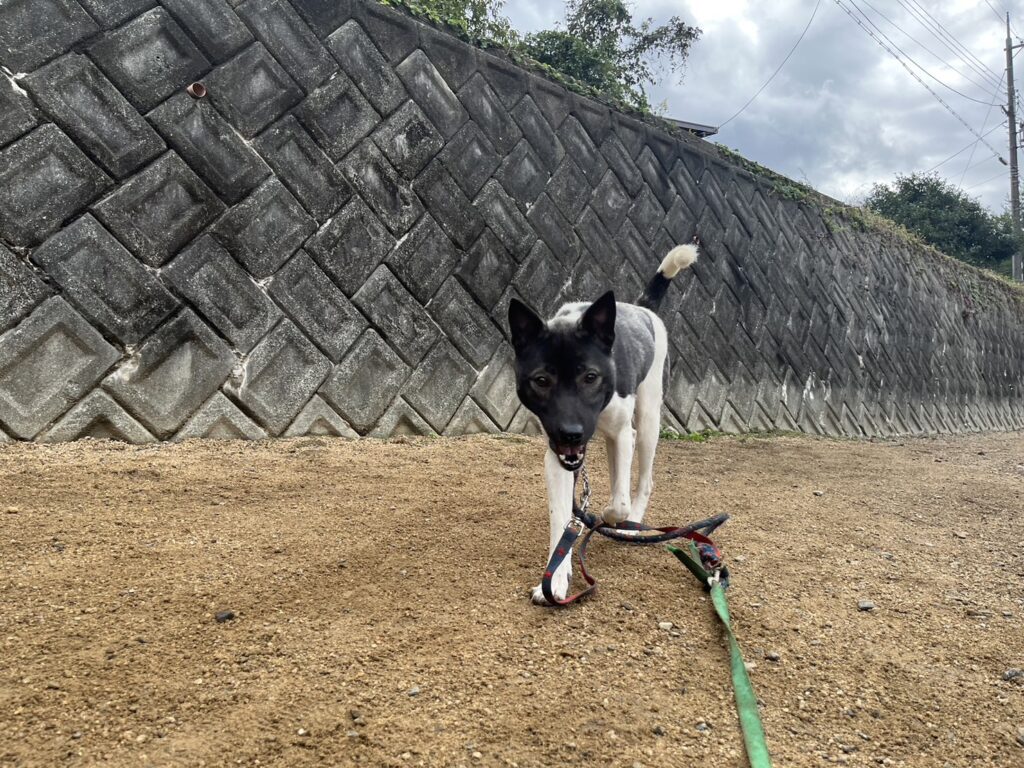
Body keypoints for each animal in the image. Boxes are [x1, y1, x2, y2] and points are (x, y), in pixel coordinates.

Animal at [508, 243, 699, 604]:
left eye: (590, 377)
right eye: (541, 380)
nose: (571, 433)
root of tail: (641, 307)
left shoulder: (623, 433)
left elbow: (618, 503)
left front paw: (610, 517)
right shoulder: (557, 454)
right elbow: (562, 519)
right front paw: (556, 579)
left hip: (648, 420)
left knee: (641, 482)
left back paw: (631, 523)